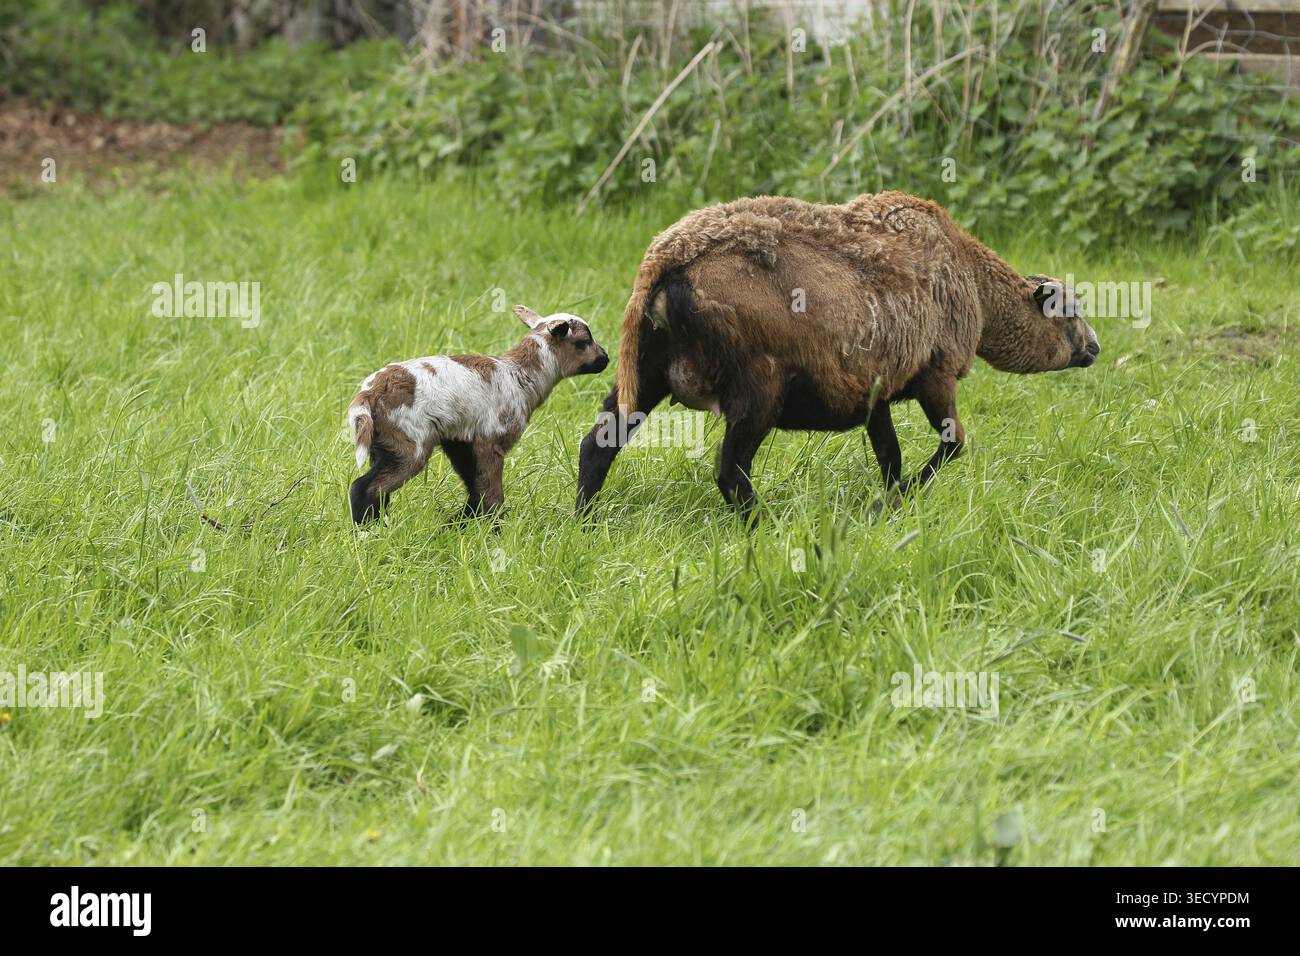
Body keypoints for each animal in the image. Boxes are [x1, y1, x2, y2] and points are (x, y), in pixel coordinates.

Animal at [349, 305, 608, 524]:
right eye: (584, 341)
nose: (605, 358)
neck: (521, 374)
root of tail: (370, 392)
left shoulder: (461, 442)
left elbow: (476, 491)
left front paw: (459, 524)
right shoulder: (490, 440)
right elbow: (492, 495)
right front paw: (493, 529)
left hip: (383, 444)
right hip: (409, 443)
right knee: (364, 488)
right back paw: (367, 530)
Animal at [575, 190, 1100, 518]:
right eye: (1068, 311)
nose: (1094, 348)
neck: (971, 277)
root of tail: (665, 259)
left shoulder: (875, 392)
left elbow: (890, 455)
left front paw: (891, 502)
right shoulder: (937, 373)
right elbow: (953, 444)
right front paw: (897, 501)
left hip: (646, 372)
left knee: (596, 446)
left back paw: (584, 521)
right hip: (757, 386)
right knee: (730, 472)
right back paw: (763, 526)